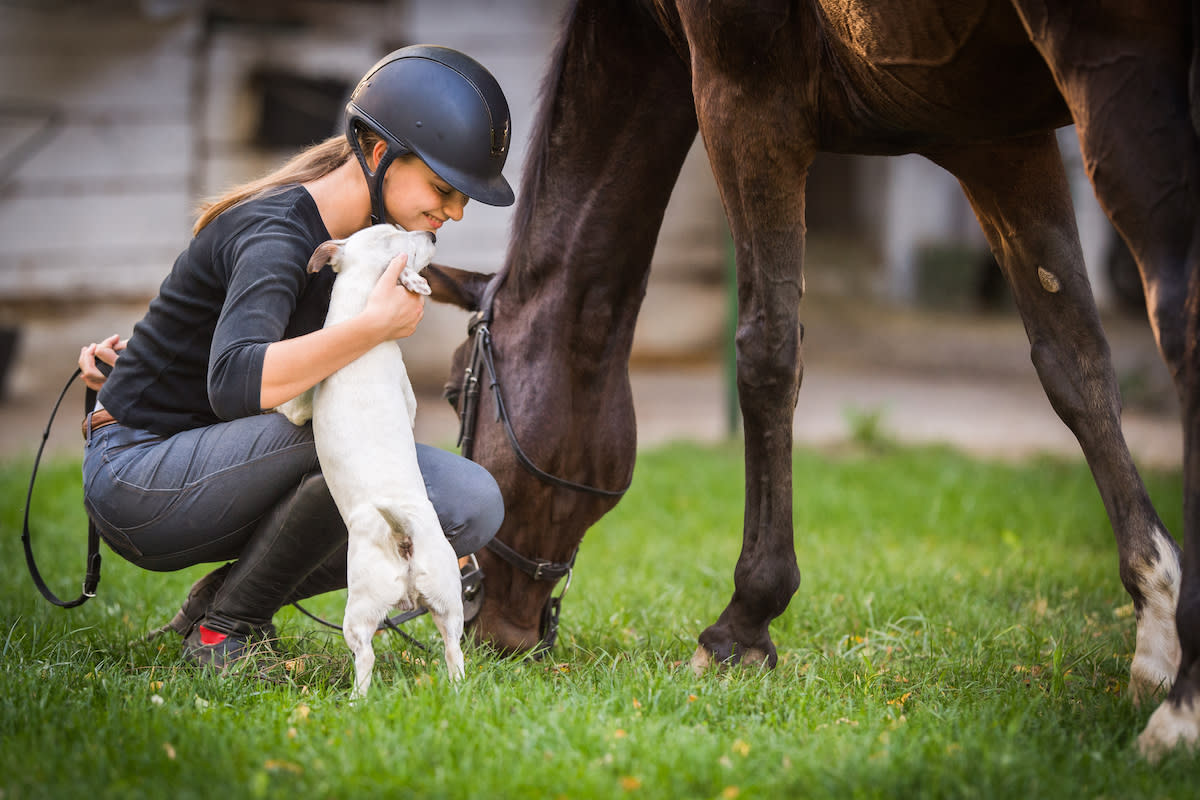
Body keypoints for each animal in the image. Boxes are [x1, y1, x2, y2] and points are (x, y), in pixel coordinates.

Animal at [274, 225, 463, 700]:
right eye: (402, 236)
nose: (432, 232)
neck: (358, 308)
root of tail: (404, 536)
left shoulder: (300, 405)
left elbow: (285, 405)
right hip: (448, 602)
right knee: (454, 651)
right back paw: (457, 690)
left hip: (359, 612)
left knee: (365, 658)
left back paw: (357, 700)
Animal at [427, 0, 1195, 758]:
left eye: (456, 392)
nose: (485, 626)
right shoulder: (1001, 141)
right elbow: (1074, 363)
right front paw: (1156, 622)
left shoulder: (746, 98)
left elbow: (767, 353)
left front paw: (742, 628)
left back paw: (1179, 719)